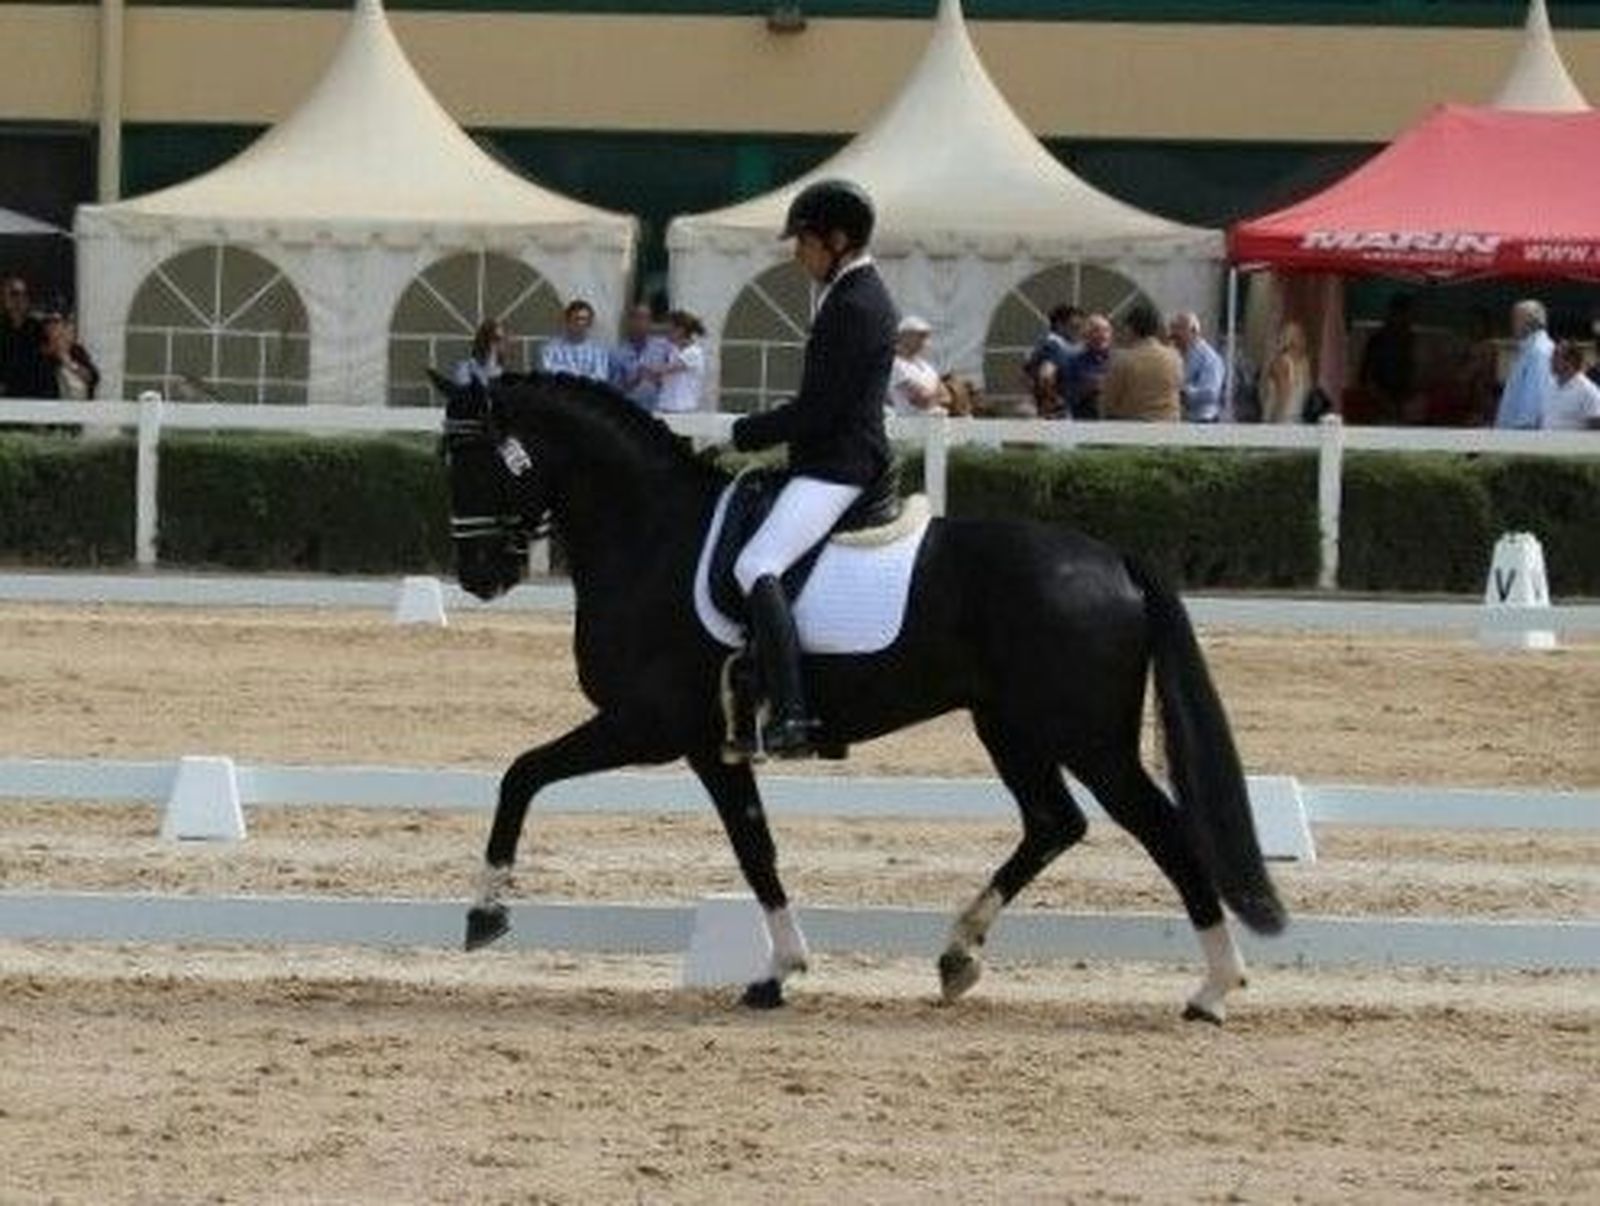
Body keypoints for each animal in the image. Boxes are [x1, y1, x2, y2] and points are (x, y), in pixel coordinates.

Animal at [434, 370, 1286, 1022]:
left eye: (469, 459)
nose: (480, 576)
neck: (652, 535)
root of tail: (1114, 560)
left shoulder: (647, 725)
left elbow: (522, 774)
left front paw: (485, 912)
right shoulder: (712, 744)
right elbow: (754, 848)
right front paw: (778, 971)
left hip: (1087, 737)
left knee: (1164, 833)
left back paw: (1214, 989)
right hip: (1009, 726)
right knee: (1054, 822)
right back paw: (957, 956)